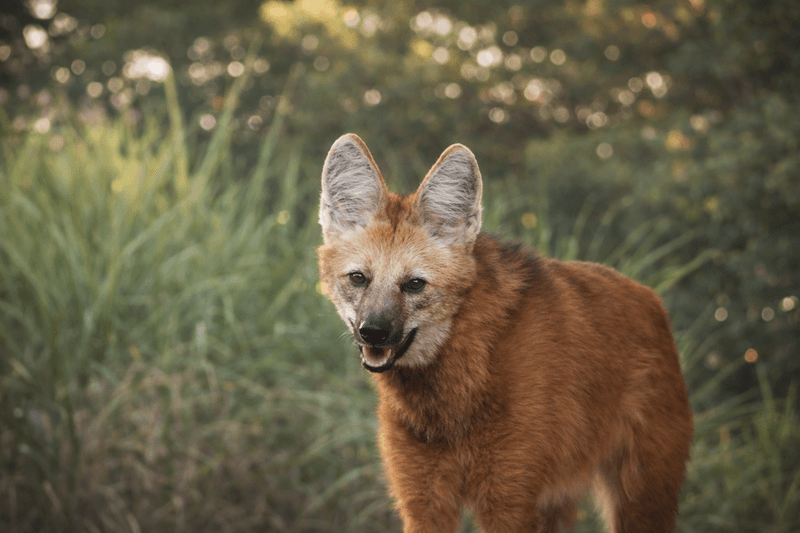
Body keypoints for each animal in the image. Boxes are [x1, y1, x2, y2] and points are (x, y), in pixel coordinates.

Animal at [316, 134, 693, 533]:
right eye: (359, 278)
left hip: (640, 494)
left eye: (414, 284)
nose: (373, 332)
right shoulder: (424, 502)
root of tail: (651, 297)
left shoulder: (509, 501)